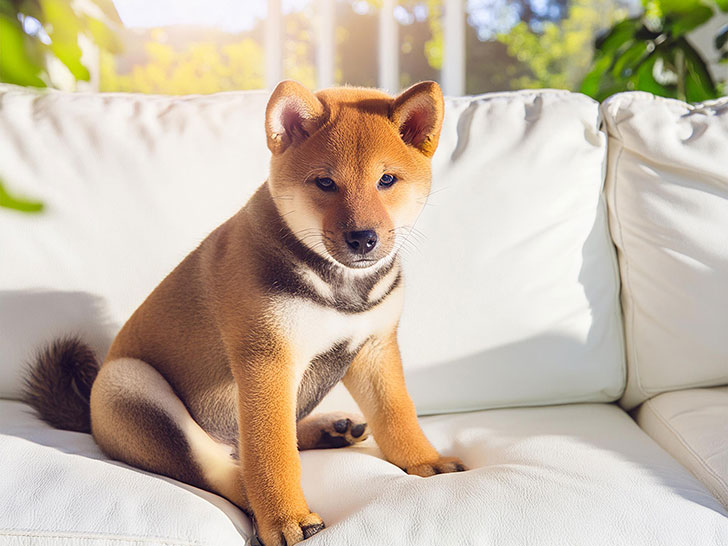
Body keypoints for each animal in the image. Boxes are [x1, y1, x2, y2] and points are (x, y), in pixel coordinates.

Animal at [25, 81, 466, 544]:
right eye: (325, 182)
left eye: (387, 180)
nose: (362, 238)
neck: (341, 287)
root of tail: (89, 420)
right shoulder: (267, 360)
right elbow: (272, 454)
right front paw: (286, 518)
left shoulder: (373, 347)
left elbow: (396, 414)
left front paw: (426, 461)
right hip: (130, 383)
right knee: (224, 468)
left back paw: (330, 429)